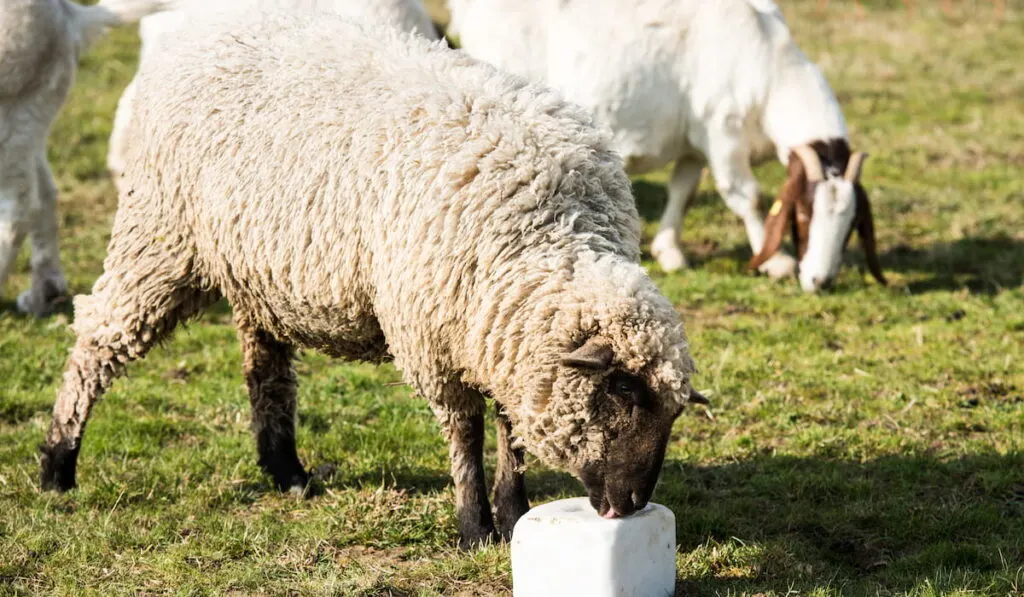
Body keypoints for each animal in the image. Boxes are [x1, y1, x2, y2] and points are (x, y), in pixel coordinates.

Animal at [0, 0, 164, 317]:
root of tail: (66, 18)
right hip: (31, 116)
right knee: (44, 193)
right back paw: (44, 293)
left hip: (13, 111)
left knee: (19, 208)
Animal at [448, 0, 888, 292]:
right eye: (802, 215)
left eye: (852, 225)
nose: (821, 280)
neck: (767, 68)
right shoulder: (723, 134)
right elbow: (748, 196)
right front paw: (776, 261)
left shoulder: (694, 143)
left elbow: (684, 190)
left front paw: (669, 251)